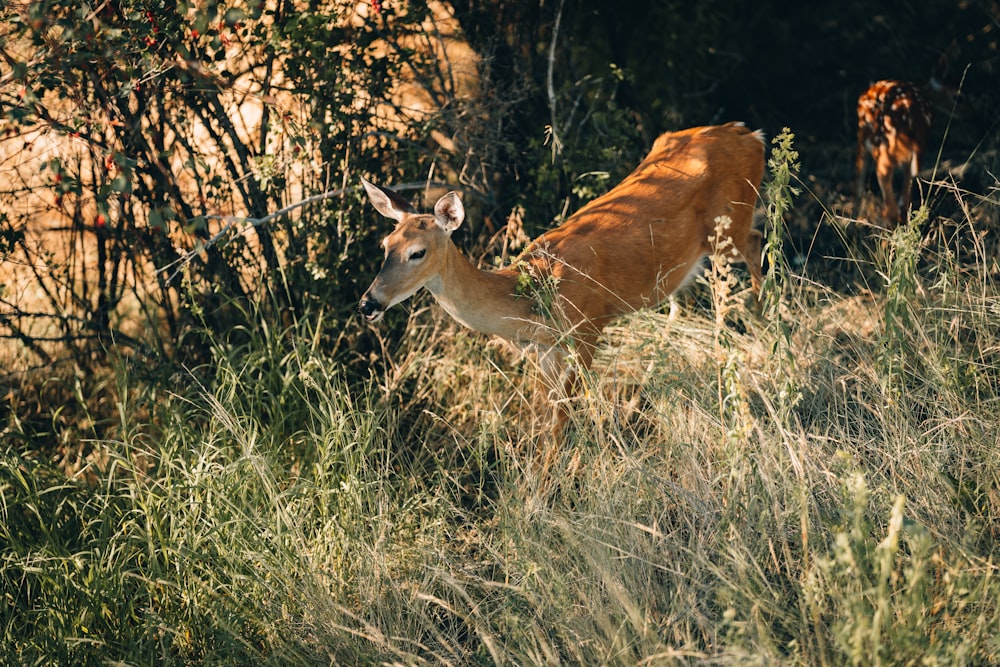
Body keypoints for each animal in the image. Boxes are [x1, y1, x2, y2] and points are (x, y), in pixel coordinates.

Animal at [360, 122, 764, 428]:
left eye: (418, 252)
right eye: (385, 244)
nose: (368, 303)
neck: (528, 293)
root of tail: (749, 134)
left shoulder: (585, 331)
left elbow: (562, 418)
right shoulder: (545, 350)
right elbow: (544, 417)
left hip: (729, 229)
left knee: (754, 251)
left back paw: (766, 342)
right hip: (686, 262)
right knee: (686, 302)